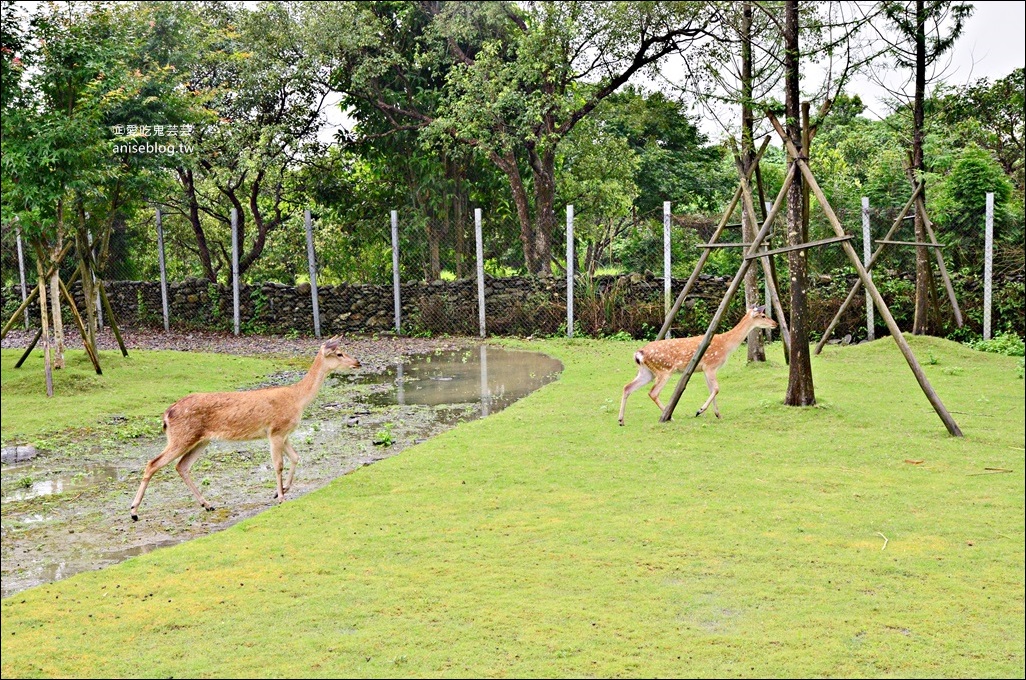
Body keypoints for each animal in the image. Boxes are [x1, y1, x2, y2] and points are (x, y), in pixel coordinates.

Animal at [130, 336, 361, 521]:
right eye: (339, 353)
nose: (358, 362)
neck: (297, 399)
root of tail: (167, 415)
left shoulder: (284, 434)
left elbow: (296, 458)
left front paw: (281, 490)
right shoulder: (275, 431)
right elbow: (278, 464)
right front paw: (281, 497)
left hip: (201, 439)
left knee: (182, 466)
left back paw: (207, 504)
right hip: (181, 436)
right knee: (153, 463)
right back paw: (134, 511)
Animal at [615, 303, 775, 422]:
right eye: (763, 316)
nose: (775, 323)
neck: (726, 345)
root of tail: (639, 353)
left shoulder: (705, 369)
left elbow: (712, 389)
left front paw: (718, 414)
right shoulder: (711, 365)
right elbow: (716, 388)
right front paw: (700, 410)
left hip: (647, 372)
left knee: (627, 387)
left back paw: (621, 420)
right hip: (664, 370)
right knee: (653, 393)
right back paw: (669, 416)